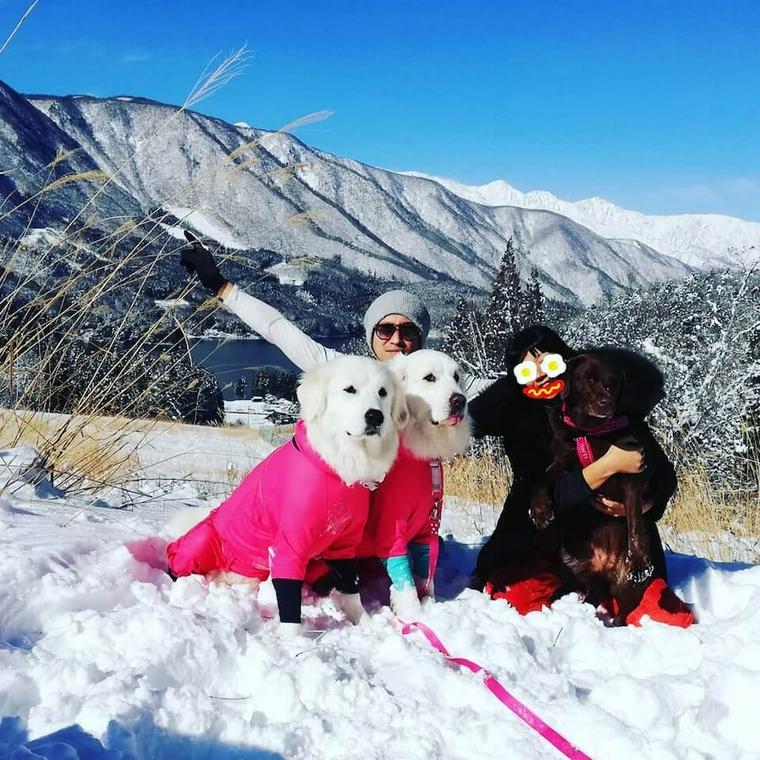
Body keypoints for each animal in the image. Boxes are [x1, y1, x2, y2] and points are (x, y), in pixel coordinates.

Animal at [528, 348, 676, 628]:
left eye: (613, 384)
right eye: (588, 380)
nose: (605, 403)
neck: (592, 431)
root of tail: (605, 568)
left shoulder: (633, 473)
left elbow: (635, 523)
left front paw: (638, 561)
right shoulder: (563, 461)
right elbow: (541, 478)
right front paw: (540, 511)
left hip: (627, 586)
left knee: (621, 614)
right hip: (571, 565)